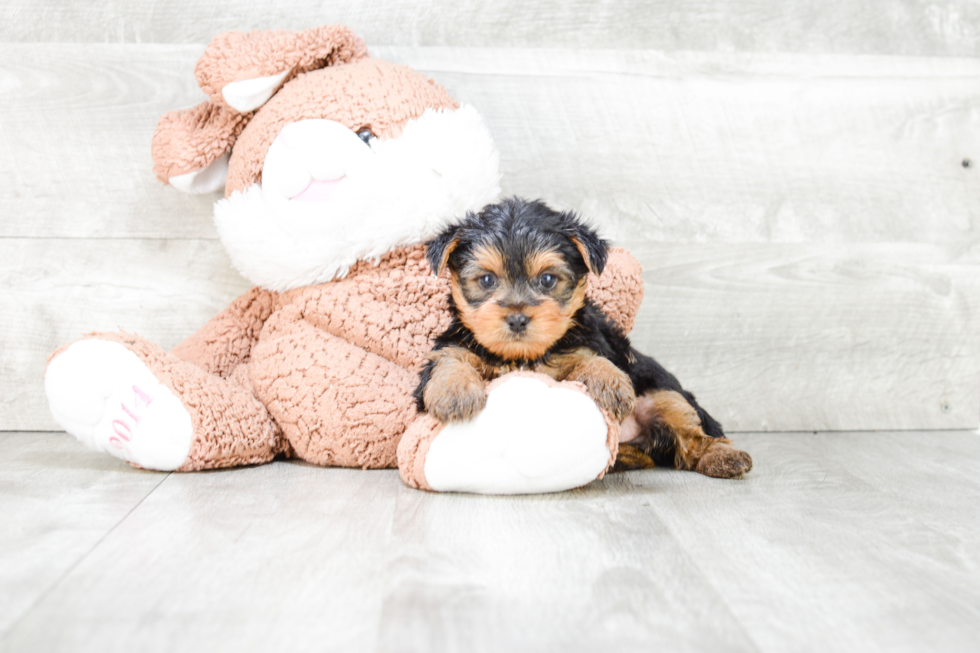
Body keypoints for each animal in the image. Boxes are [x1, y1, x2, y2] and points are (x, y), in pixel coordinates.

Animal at [414, 196, 752, 476]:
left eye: (547, 280)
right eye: (486, 280)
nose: (518, 318)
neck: (524, 356)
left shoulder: (584, 344)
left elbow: (592, 358)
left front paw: (611, 382)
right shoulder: (454, 344)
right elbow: (449, 361)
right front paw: (455, 392)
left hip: (662, 392)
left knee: (688, 431)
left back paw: (721, 456)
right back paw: (622, 459)